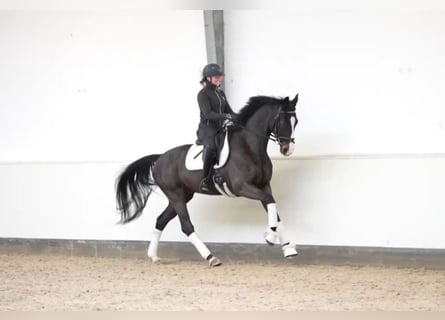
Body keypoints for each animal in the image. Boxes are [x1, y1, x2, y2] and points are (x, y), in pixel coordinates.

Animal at [116, 94, 298, 266]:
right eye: (283, 121)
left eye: (295, 121)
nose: (287, 149)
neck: (249, 147)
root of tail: (160, 158)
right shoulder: (242, 187)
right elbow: (269, 201)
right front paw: (270, 237)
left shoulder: (264, 185)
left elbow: (273, 208)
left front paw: (288, 248)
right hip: (176, 195)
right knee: (186, 226)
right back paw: (211, 258)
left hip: (181, 196)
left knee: (161, 220)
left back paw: (154, 256)